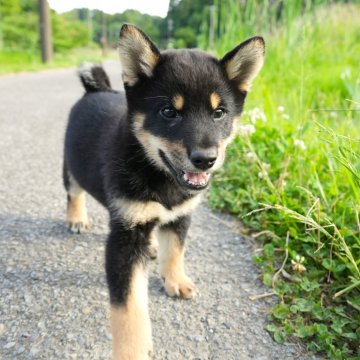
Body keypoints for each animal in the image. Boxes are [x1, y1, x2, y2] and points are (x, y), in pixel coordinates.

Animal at [62, 23, 264, 358]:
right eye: (169, 111)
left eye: (219, 112)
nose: (206, 159)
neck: (160, 177)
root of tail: (96, 89)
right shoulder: (125, 237)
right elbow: (128, 308)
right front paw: (131, 350)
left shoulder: (181, 215)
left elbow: (175, 252)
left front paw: (175, 279)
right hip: (72, 168)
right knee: (73, 192)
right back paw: (77, 218)